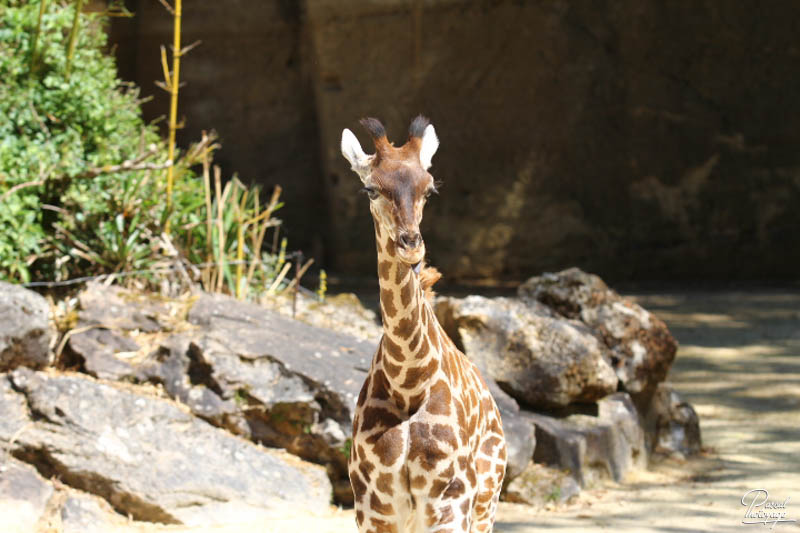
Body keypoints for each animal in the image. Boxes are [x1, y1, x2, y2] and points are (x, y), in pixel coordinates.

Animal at [342, 116, 506, 532]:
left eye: (429, 190)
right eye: (370, 189)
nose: (411, 245)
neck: (409, 382)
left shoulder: (451, 502)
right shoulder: (374, 510)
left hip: (485, 503)